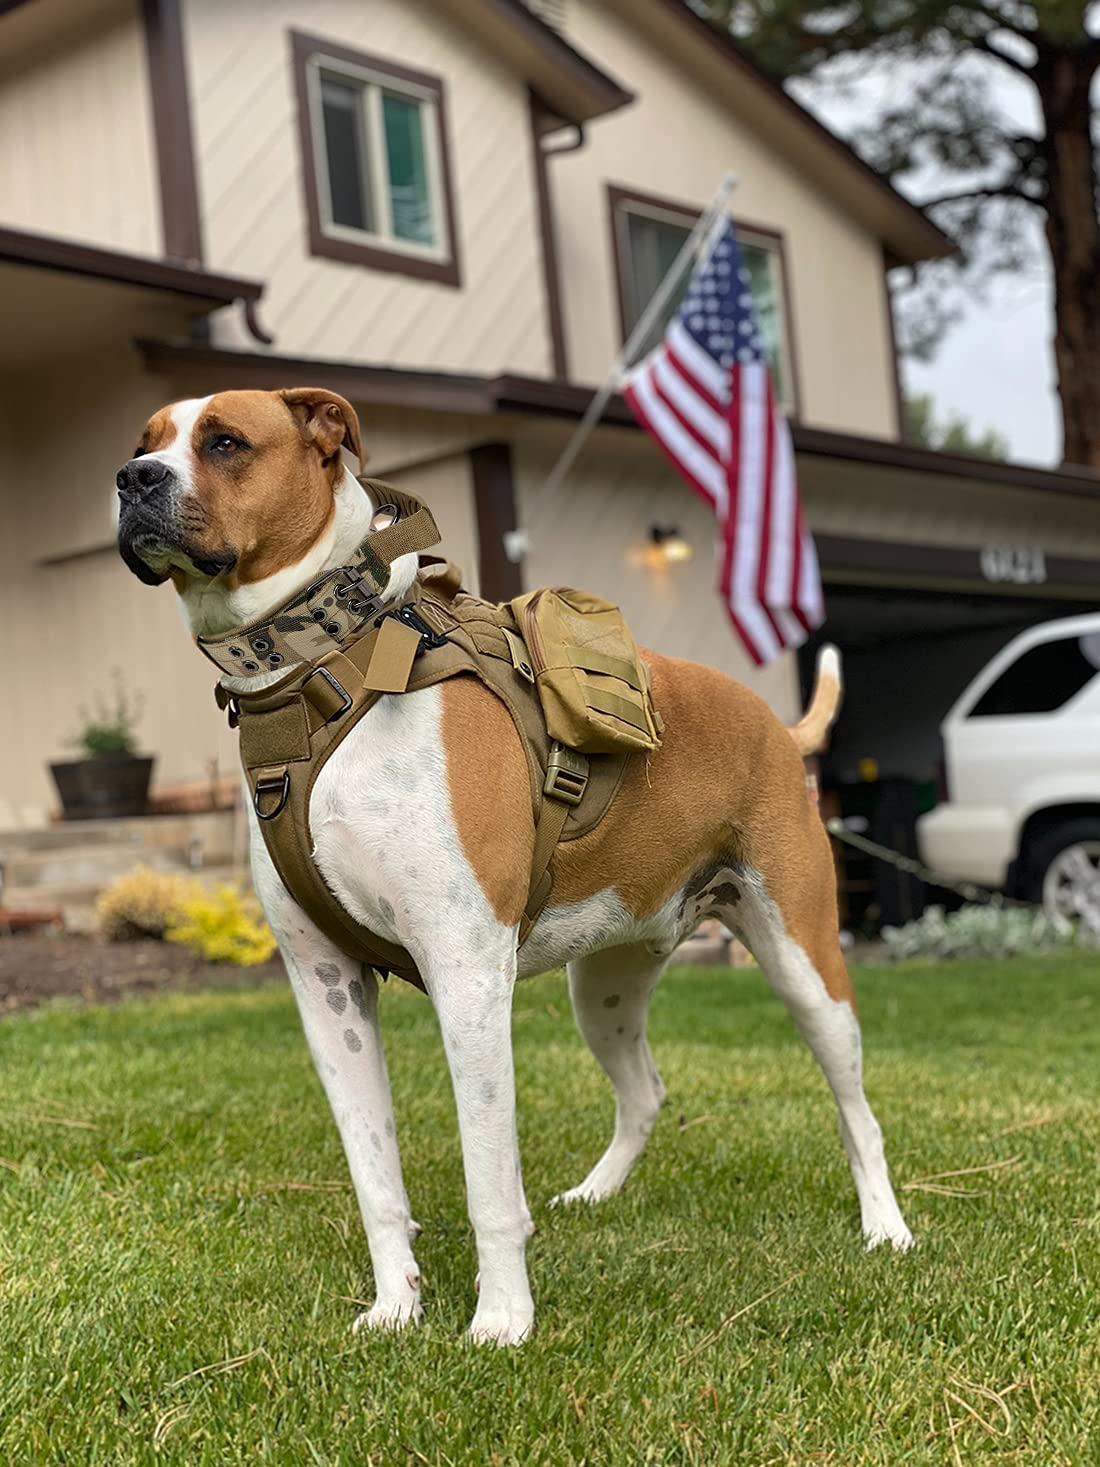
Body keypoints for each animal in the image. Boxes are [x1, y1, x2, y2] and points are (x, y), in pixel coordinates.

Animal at [116, 387, 915, 1343]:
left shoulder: (466, 978)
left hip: (805, 965)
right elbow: (374, 1174)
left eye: (226, 442)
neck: (319, 670)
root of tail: (776, 723)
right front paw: (395, 1307)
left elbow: (488, 1179)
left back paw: (886, 1228)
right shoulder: (328, 991)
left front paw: (501, 1320)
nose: (132, 479)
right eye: (144, 442)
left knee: (858, 1110)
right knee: (646, 1089)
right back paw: (594, 1194)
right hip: (605, 987)